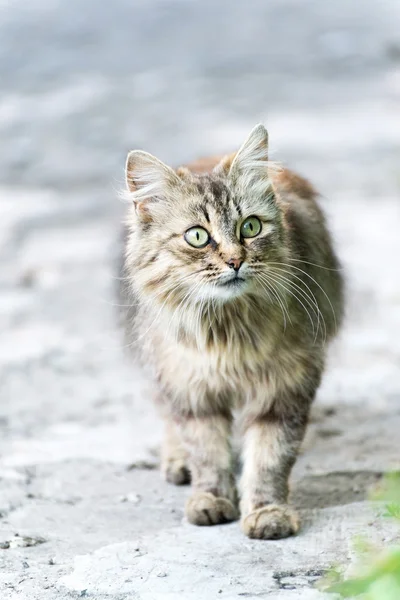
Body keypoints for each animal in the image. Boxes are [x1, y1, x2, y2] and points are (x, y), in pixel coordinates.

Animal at [119, 125, 344, 540]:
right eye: (196, 236)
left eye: (250, 227)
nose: (236, 260)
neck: (227, 330)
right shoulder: (191, 389)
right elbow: (207, 452)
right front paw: (210, 499)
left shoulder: (284, 387)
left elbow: (269, 458)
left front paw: (267, 512)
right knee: (168, 418)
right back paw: (178, 463)